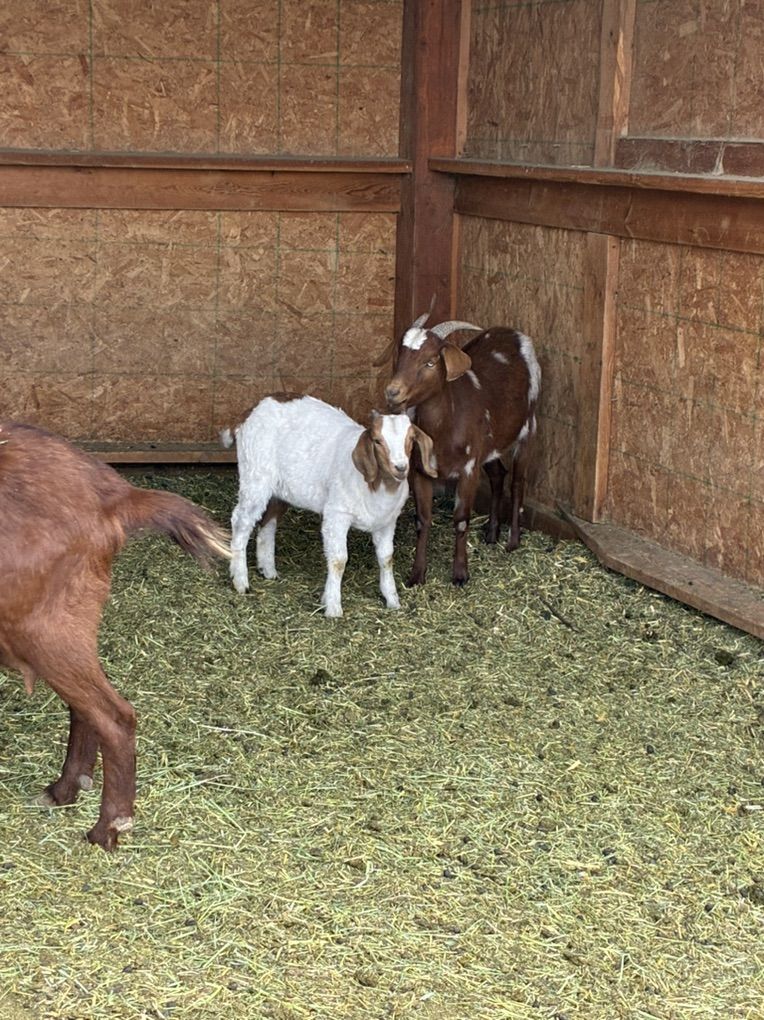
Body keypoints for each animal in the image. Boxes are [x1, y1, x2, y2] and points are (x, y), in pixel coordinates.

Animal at [0, 421, 230, 850]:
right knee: (85, 708)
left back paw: (107, 827)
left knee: (114, 716)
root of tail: (113, 495)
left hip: (43, 629)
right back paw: (66, 790)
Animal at [221, 394, 435, 617]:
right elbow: (339, 560)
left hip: (278, 489)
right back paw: (240, 580)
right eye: (377, 441)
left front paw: (392, 600)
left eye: (410, 439)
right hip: (255, 476)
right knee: (241, 522)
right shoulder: (336, 515)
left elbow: (386, 558)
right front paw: (333, 607)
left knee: (268, 522)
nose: (400, 468)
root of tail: (249, 412)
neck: (375, 486)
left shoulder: (387, 522)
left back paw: (268, 570)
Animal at [382, 312, 541, 586]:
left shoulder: (468, 470)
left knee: (517, 482)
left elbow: (461, 520)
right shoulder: (421, 472)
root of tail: (512, 333)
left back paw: (512, 541)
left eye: (431, 362)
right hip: (489, 446)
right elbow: (423, 520)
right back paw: (491, 533)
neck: (445, 427)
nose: (393, 392)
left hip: (527, 428)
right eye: (400, 358)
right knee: (498, 475)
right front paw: (417, 574)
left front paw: (460, 574)